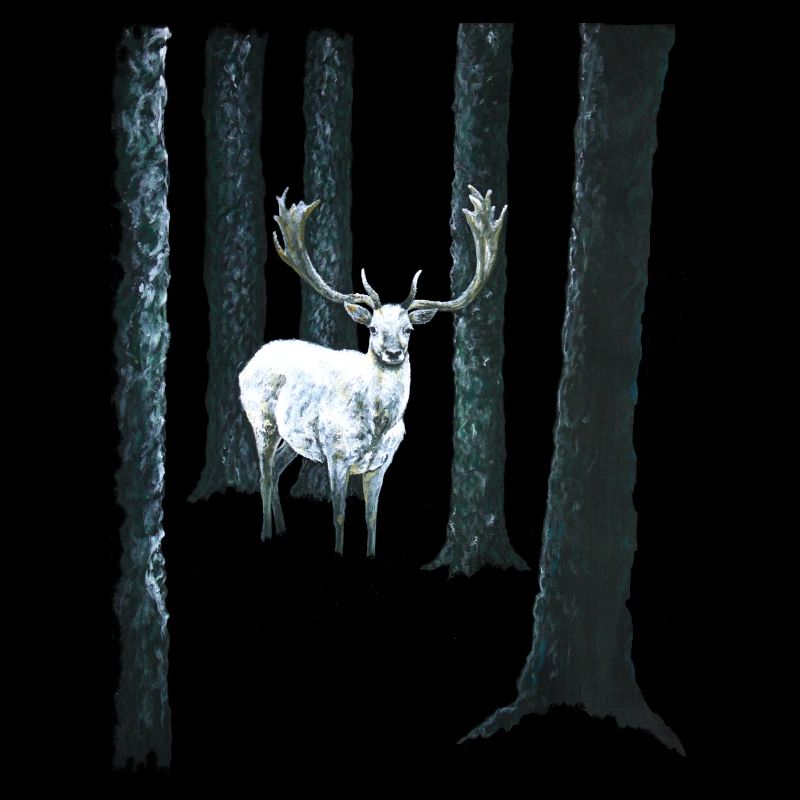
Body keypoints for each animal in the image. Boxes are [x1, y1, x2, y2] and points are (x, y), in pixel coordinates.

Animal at [239, 184, 507, 557]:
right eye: (373, 329)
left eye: (408, 329)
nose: (393, 353)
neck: (378, 426)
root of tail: (250, 361)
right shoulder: (336, 454)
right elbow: (339, 516)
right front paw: (338, 552)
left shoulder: (382, 463)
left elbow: (372, 519)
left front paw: (370, 554)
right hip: (261, 419)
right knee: (263, 473)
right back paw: (265, 533)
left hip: (293, 437)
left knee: (277, 469)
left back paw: (281, 530)